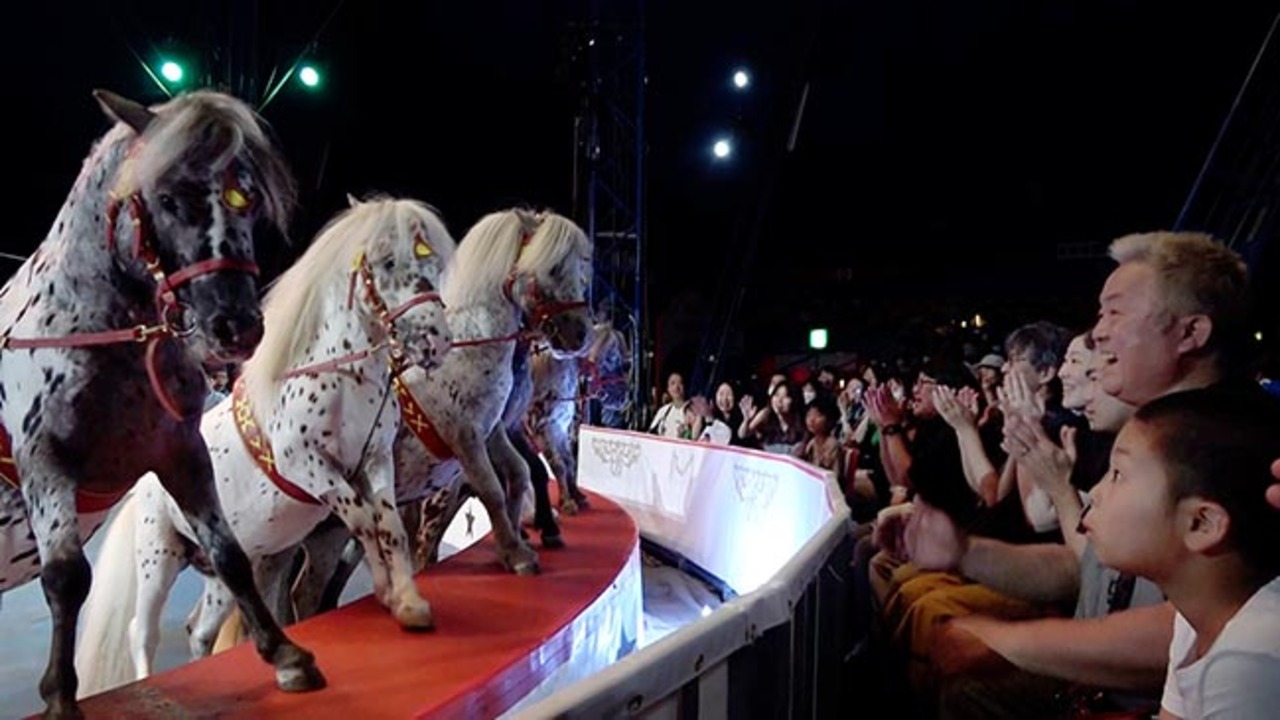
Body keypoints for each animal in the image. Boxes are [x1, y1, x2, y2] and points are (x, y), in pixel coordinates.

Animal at [0, 87, 318, 712]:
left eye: (248, 201)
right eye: (169, 198)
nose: (236, 328)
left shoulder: (180, 453)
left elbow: (228, 554)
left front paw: (285, 654)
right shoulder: (45, 462)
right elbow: (67, 577)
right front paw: (60, 697)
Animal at [73, 193, 455, 691]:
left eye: (433, 261)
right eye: (389, 261)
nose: (436, 341)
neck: (341, 379)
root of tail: (143, 486)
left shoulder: (374, 460)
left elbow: (387, 523)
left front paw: (409, 604)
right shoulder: (309, 466)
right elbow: (362, 518)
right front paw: (386, 591)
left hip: (224, 571)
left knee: (201, 629)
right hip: (158, 556)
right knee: (143, 631)